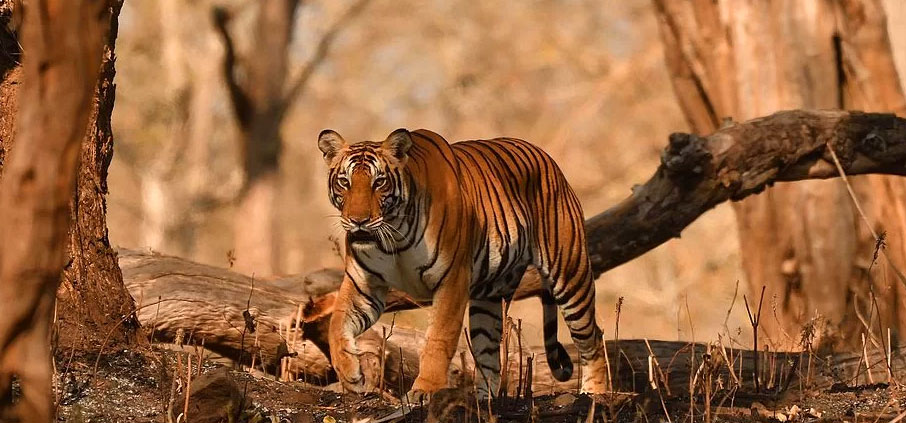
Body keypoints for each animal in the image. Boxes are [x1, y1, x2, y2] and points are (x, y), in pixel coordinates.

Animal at [318, 128, 608, 400]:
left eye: (379, 182)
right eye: (344, 182)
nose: (358, 221)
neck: (395, 235)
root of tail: (547, 158)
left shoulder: (451, 281)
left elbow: (438, 340)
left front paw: (424, 390)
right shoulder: (363, 286)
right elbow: (336, 326)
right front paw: (351, 377)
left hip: (570, 273)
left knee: (593, 337)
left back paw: (595, 393)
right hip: (489, 298)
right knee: (489, 354)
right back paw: (483, 400)